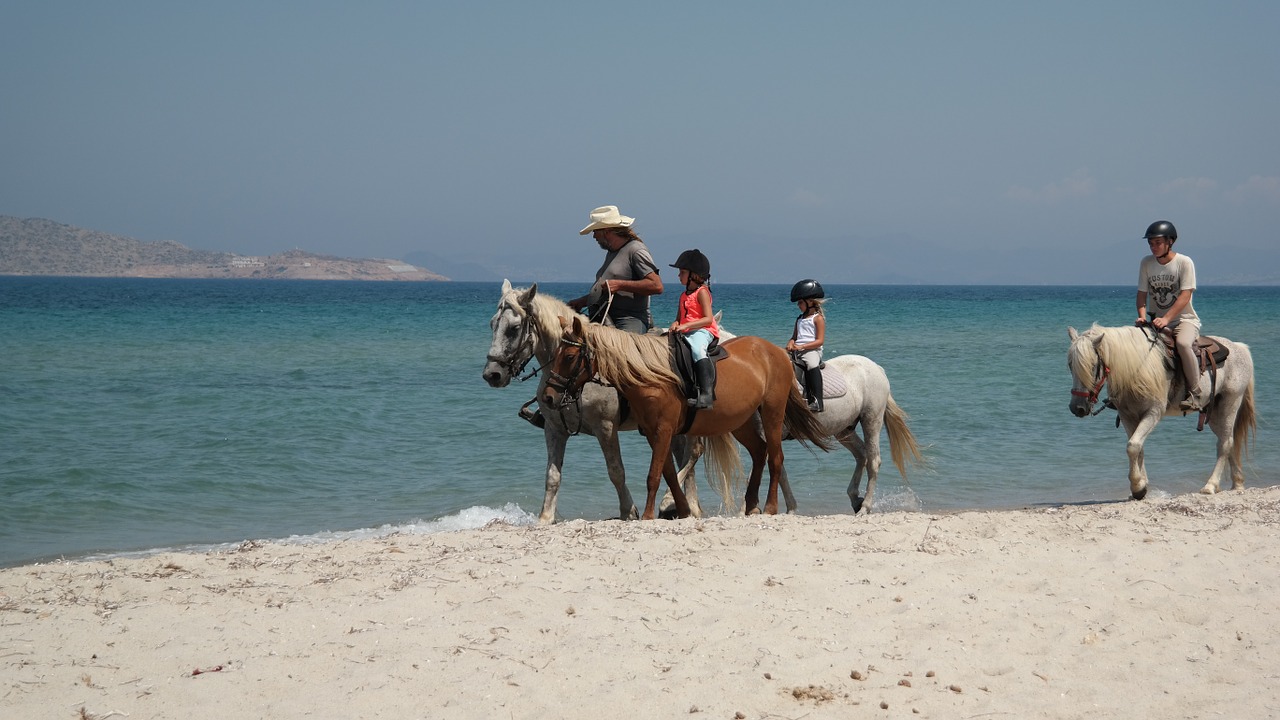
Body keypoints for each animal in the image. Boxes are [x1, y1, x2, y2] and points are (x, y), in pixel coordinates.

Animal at [545, 312, 834, 515]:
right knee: (759, 452)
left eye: (569, 356)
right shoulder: (653, 433)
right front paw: (682, 510)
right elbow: (669, 473)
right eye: (555, 353)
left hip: (772, 413)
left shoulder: (663, 430)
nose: (548, 397)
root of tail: (776, 352)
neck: (651, 376)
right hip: (740, 422)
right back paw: (751, 505)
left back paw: (771, 507)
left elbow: (654, 475)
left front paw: (649, 515)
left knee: (775, 458)